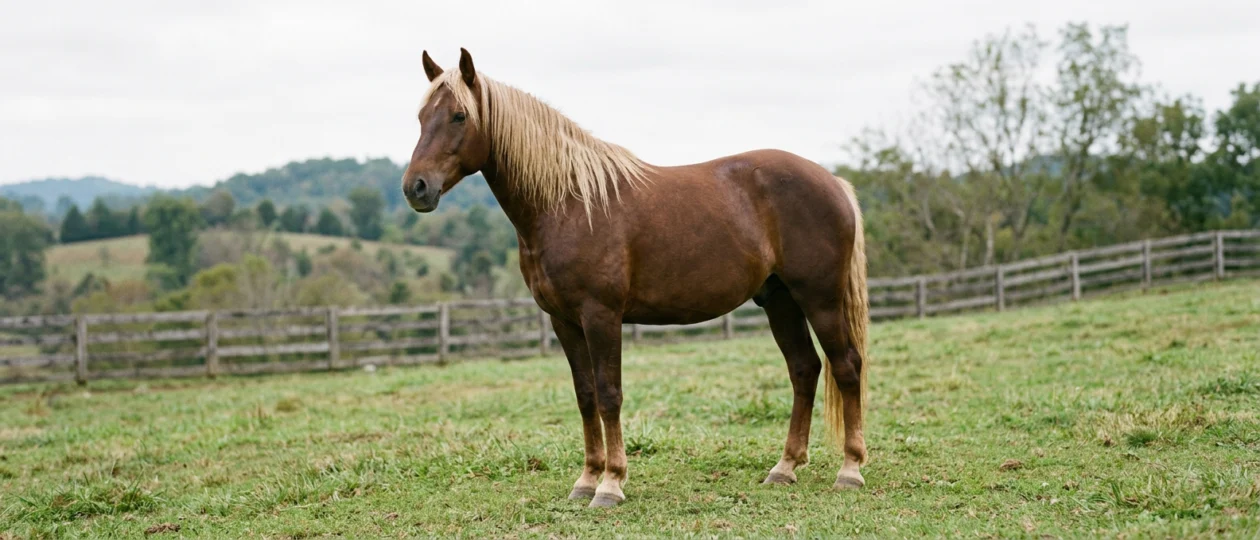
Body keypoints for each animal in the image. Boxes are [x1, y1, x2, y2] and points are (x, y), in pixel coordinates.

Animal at [401, 49, 870, 509]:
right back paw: (784, 468)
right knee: (804, 370)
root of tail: (833, 182)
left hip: (820, 299)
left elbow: (610, 394)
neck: (569, 204)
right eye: (421, 116)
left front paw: (611, 485)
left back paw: (849, 470)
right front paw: (587, 480)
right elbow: (585, 396)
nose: (415, 188)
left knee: (846, 366)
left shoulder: (601, 316)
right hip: (780, 300)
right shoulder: (563, 321)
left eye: (459, 116)